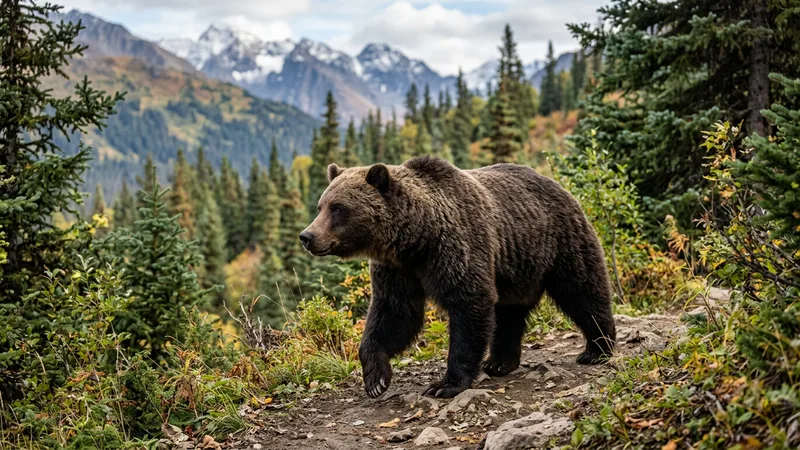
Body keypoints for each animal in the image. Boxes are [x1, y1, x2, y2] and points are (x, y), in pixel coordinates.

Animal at [299, 156, 616, 399]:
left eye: (338, 208)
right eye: (321, 206)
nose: (307, 236)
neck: (416, 239)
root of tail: (557, 184)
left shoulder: (455, 246)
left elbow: (468, 304)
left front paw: (445, 384)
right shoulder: (398, 270)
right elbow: (394, 313)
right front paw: (376, 379)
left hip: (558, 241)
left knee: (582, 290)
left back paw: (597, 349)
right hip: (516, 268)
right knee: (509, 313)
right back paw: (500, 363)